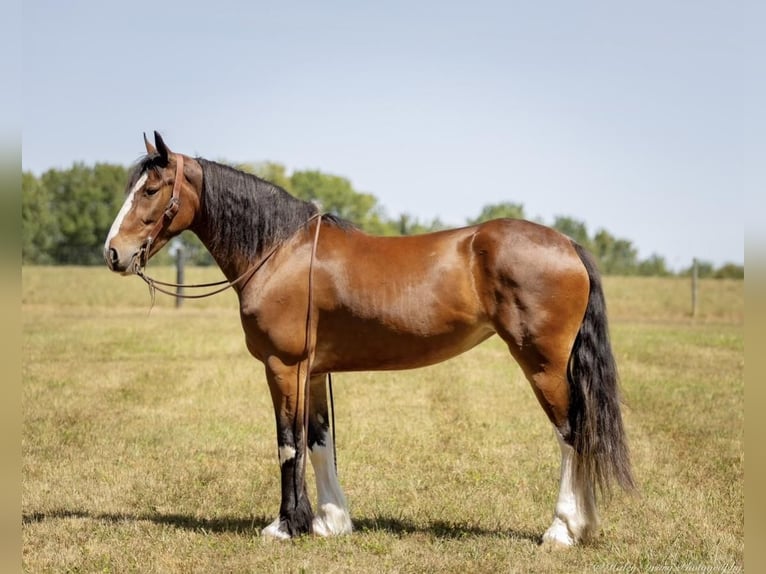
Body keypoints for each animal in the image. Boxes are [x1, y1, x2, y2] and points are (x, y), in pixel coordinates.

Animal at [105, 132, 632, 548]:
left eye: (151, 189)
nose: (113, 253)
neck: (280, 252)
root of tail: (568, 245)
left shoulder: (283, 366)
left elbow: (288, 444)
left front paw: (285, 526)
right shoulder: (314, 370)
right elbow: (319, 440)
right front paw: (329, 522)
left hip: (542, 364)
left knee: (571, 434)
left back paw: (562, 530)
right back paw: (582, 527)